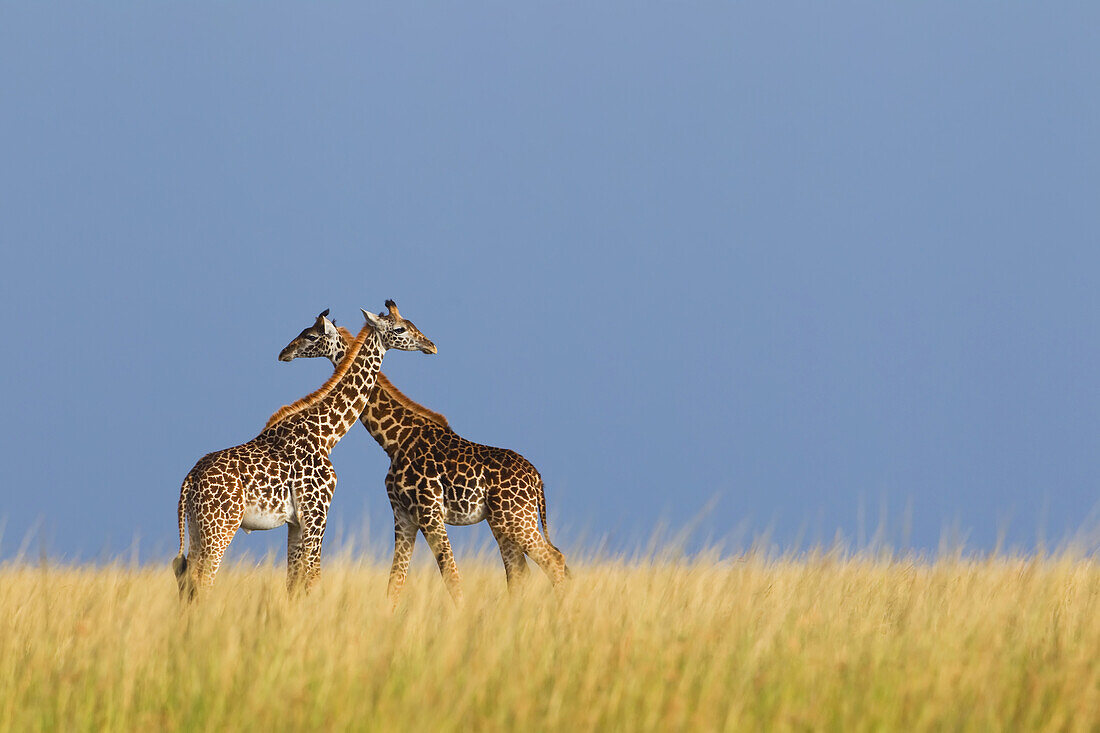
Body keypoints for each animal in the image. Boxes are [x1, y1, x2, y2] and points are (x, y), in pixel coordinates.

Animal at [171, 299, 433, 598]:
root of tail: (189, 480)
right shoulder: (316, 511)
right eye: (400, 328)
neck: (327, 433)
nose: (430, 345)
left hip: (196, 525)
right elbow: (313, 578)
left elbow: (293, 581)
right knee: (203, 579)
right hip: (221, 524)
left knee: (186, 575)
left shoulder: (296, 521)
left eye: (309, 334)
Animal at [277, 308, 567, 603]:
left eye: (311, 335)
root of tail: (537, 479)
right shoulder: (403, 514)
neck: (395, 440)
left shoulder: (428, 511)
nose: (285, 352)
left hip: (516, 518)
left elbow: (451, 576)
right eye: (402, 328)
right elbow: (395, 582)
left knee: (554, 561)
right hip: (502, 521)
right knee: (521, 572)